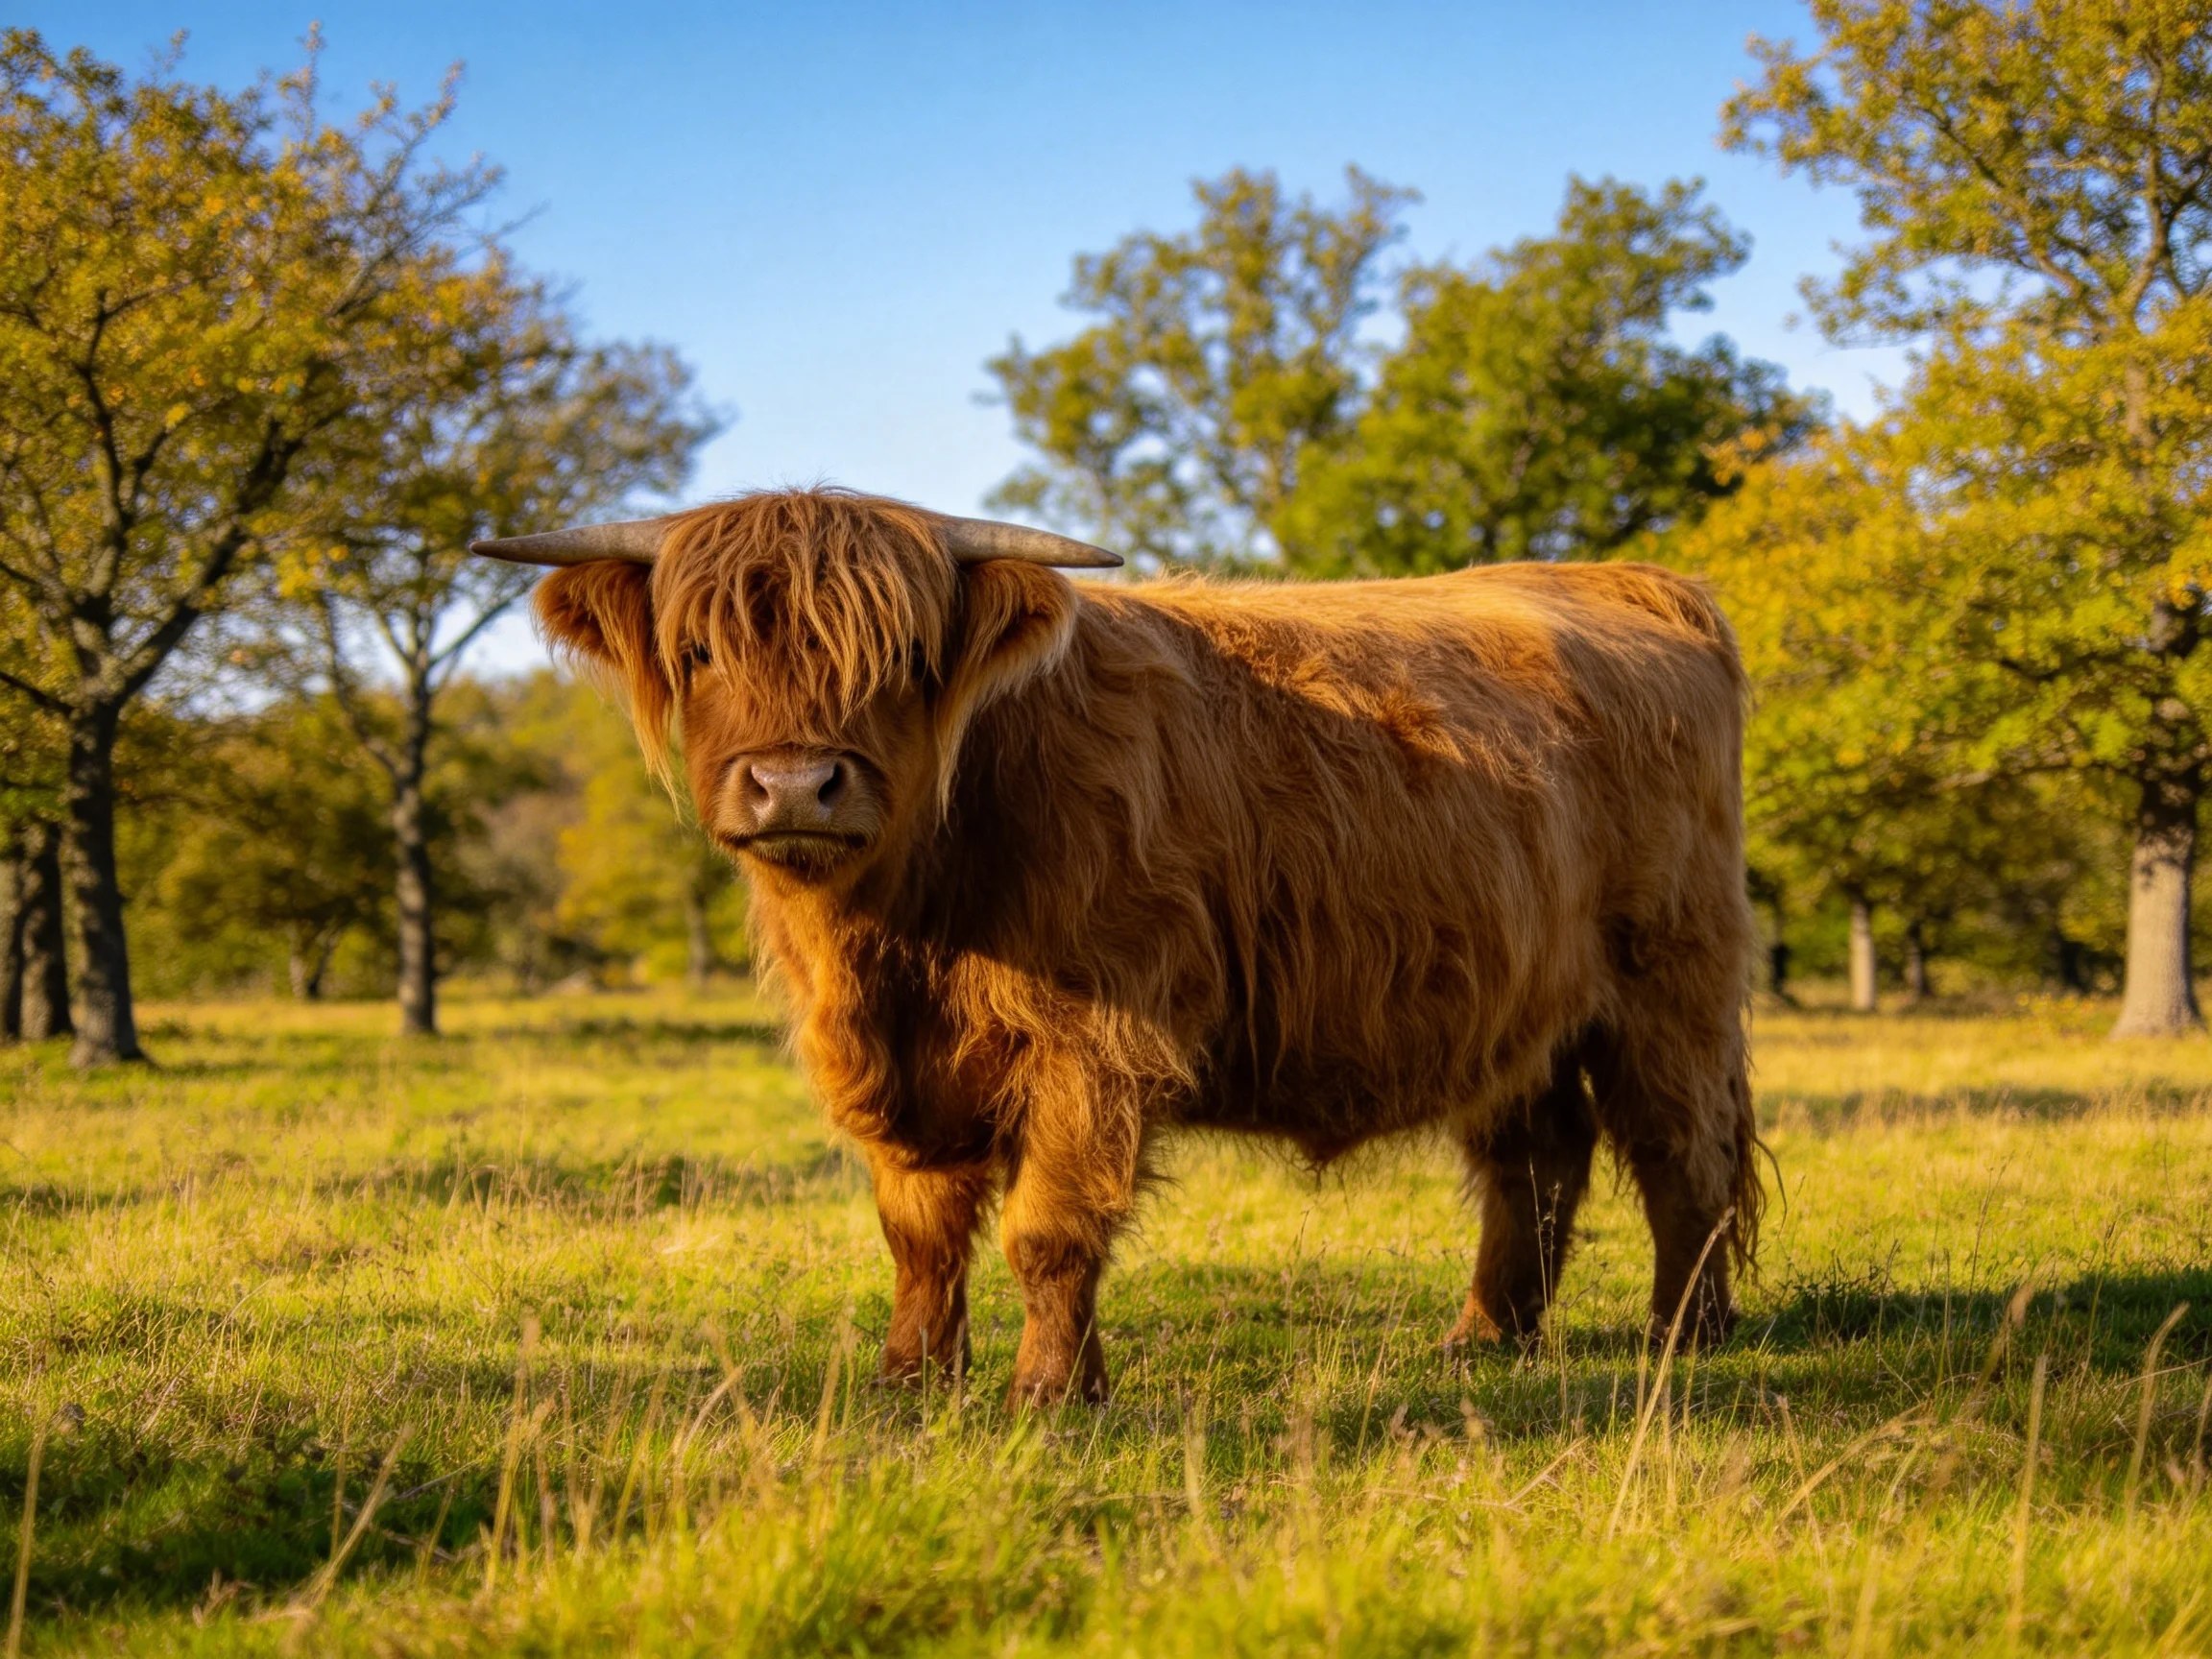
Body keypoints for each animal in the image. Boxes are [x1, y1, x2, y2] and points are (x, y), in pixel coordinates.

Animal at [474, 487, 1762, 1406]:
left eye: (903, 663)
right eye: (699, 655)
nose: (797, 783)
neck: (899, 933)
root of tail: (1630, 584)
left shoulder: (1096, 1040)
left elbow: (1049, 1230)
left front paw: (1049, 1393)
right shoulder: (899, 1066)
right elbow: (918, 1229)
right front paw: (911, 1377)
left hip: (1669, 980)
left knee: (1680, 1148)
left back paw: (1681, 1336)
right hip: (1516, 999)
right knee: (1534, 1157)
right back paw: (1485, 1337)